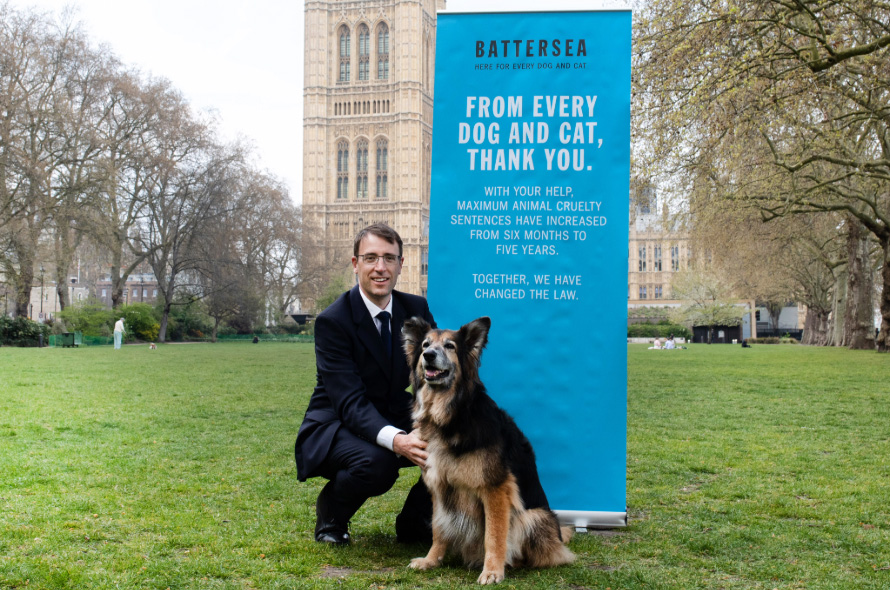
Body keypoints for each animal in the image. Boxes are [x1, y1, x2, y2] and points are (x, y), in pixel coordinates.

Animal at [400, 316, 572, 584]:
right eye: (425, 344)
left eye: (449, 346)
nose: (428, 355)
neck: (452, 415)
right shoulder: (439, 486)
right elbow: (438, 528)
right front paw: (431, 560)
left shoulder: (495, 489)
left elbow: (494, 534)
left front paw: (492, 571)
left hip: (533, 517)